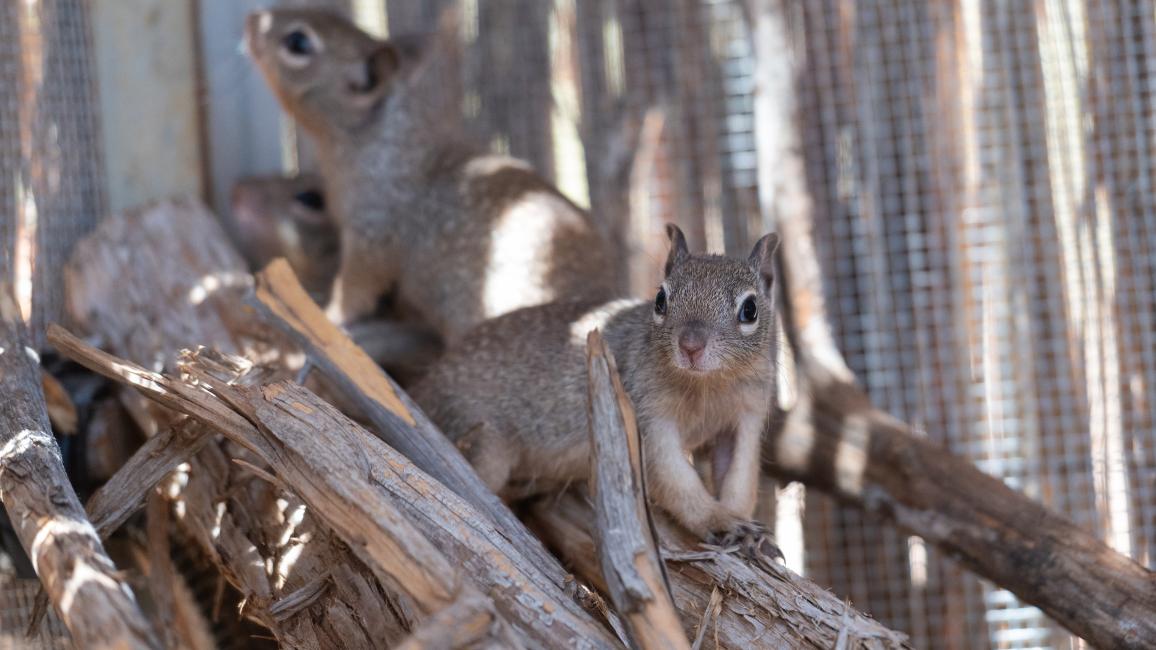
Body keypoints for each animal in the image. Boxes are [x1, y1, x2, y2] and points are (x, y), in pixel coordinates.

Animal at [244, 9, 617, 343]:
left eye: (298, 42)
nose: (251, 19)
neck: (378, 137)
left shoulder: (372, 233)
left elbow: (356, 289)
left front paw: (325, 315)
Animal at [412, 225, 780, 544]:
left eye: (750, 309)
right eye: (660, 300)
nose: (691, 346)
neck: (707, 385)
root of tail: (422, 391)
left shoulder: (743, 420)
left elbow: (739, 480)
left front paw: (747, 530)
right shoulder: (647, 420)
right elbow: (676, 479)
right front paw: (718, 520)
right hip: (484, 445)